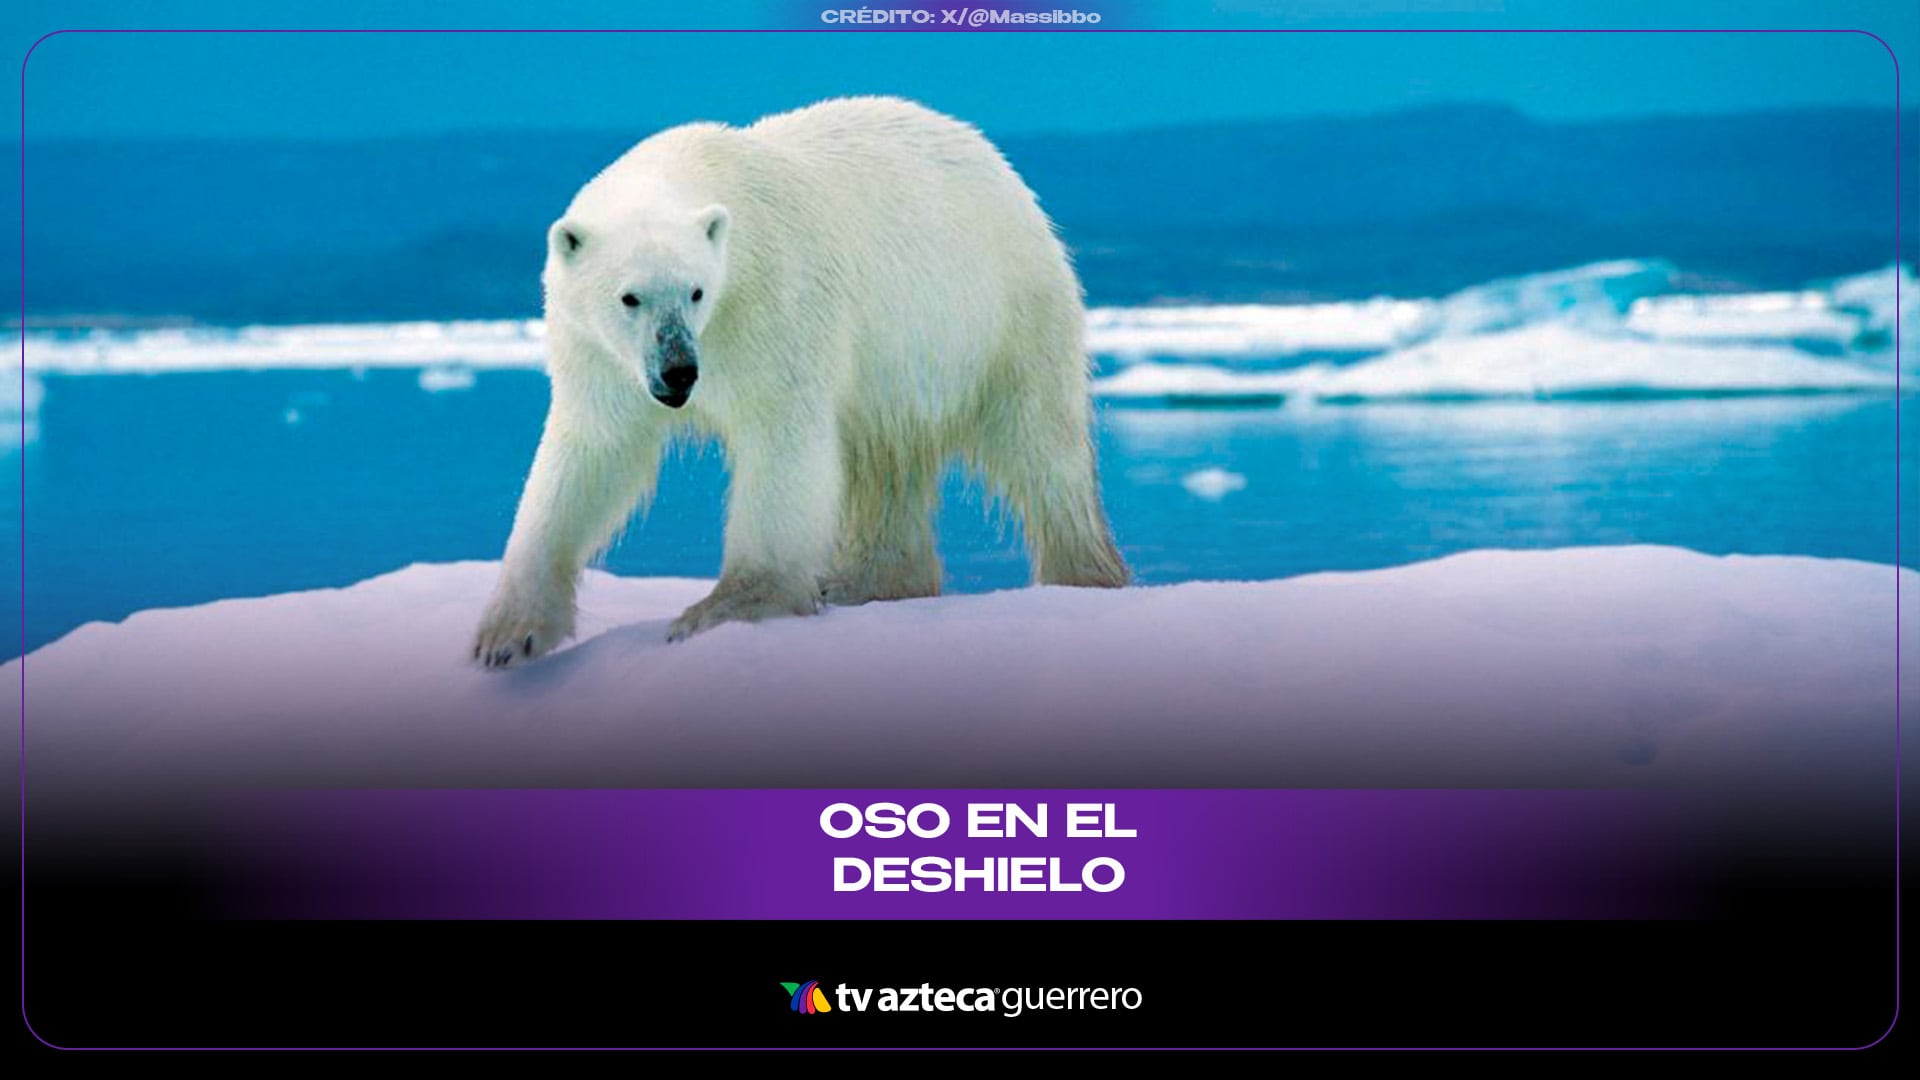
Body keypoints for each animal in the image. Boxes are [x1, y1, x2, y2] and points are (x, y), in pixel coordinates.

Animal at [472, 96, 1128, 668]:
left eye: (696, 291)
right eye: (629, 297)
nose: (680, 372)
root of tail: (994, 161)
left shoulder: (774, 300)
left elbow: (781, 440)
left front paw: (723, 608)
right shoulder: (598, 356)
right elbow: (591, 454)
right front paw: (506, 637)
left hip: (998, 311)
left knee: (1040, 446)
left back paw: (1082, 575)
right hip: (896, 370)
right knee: (884, 462)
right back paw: (867, 581)